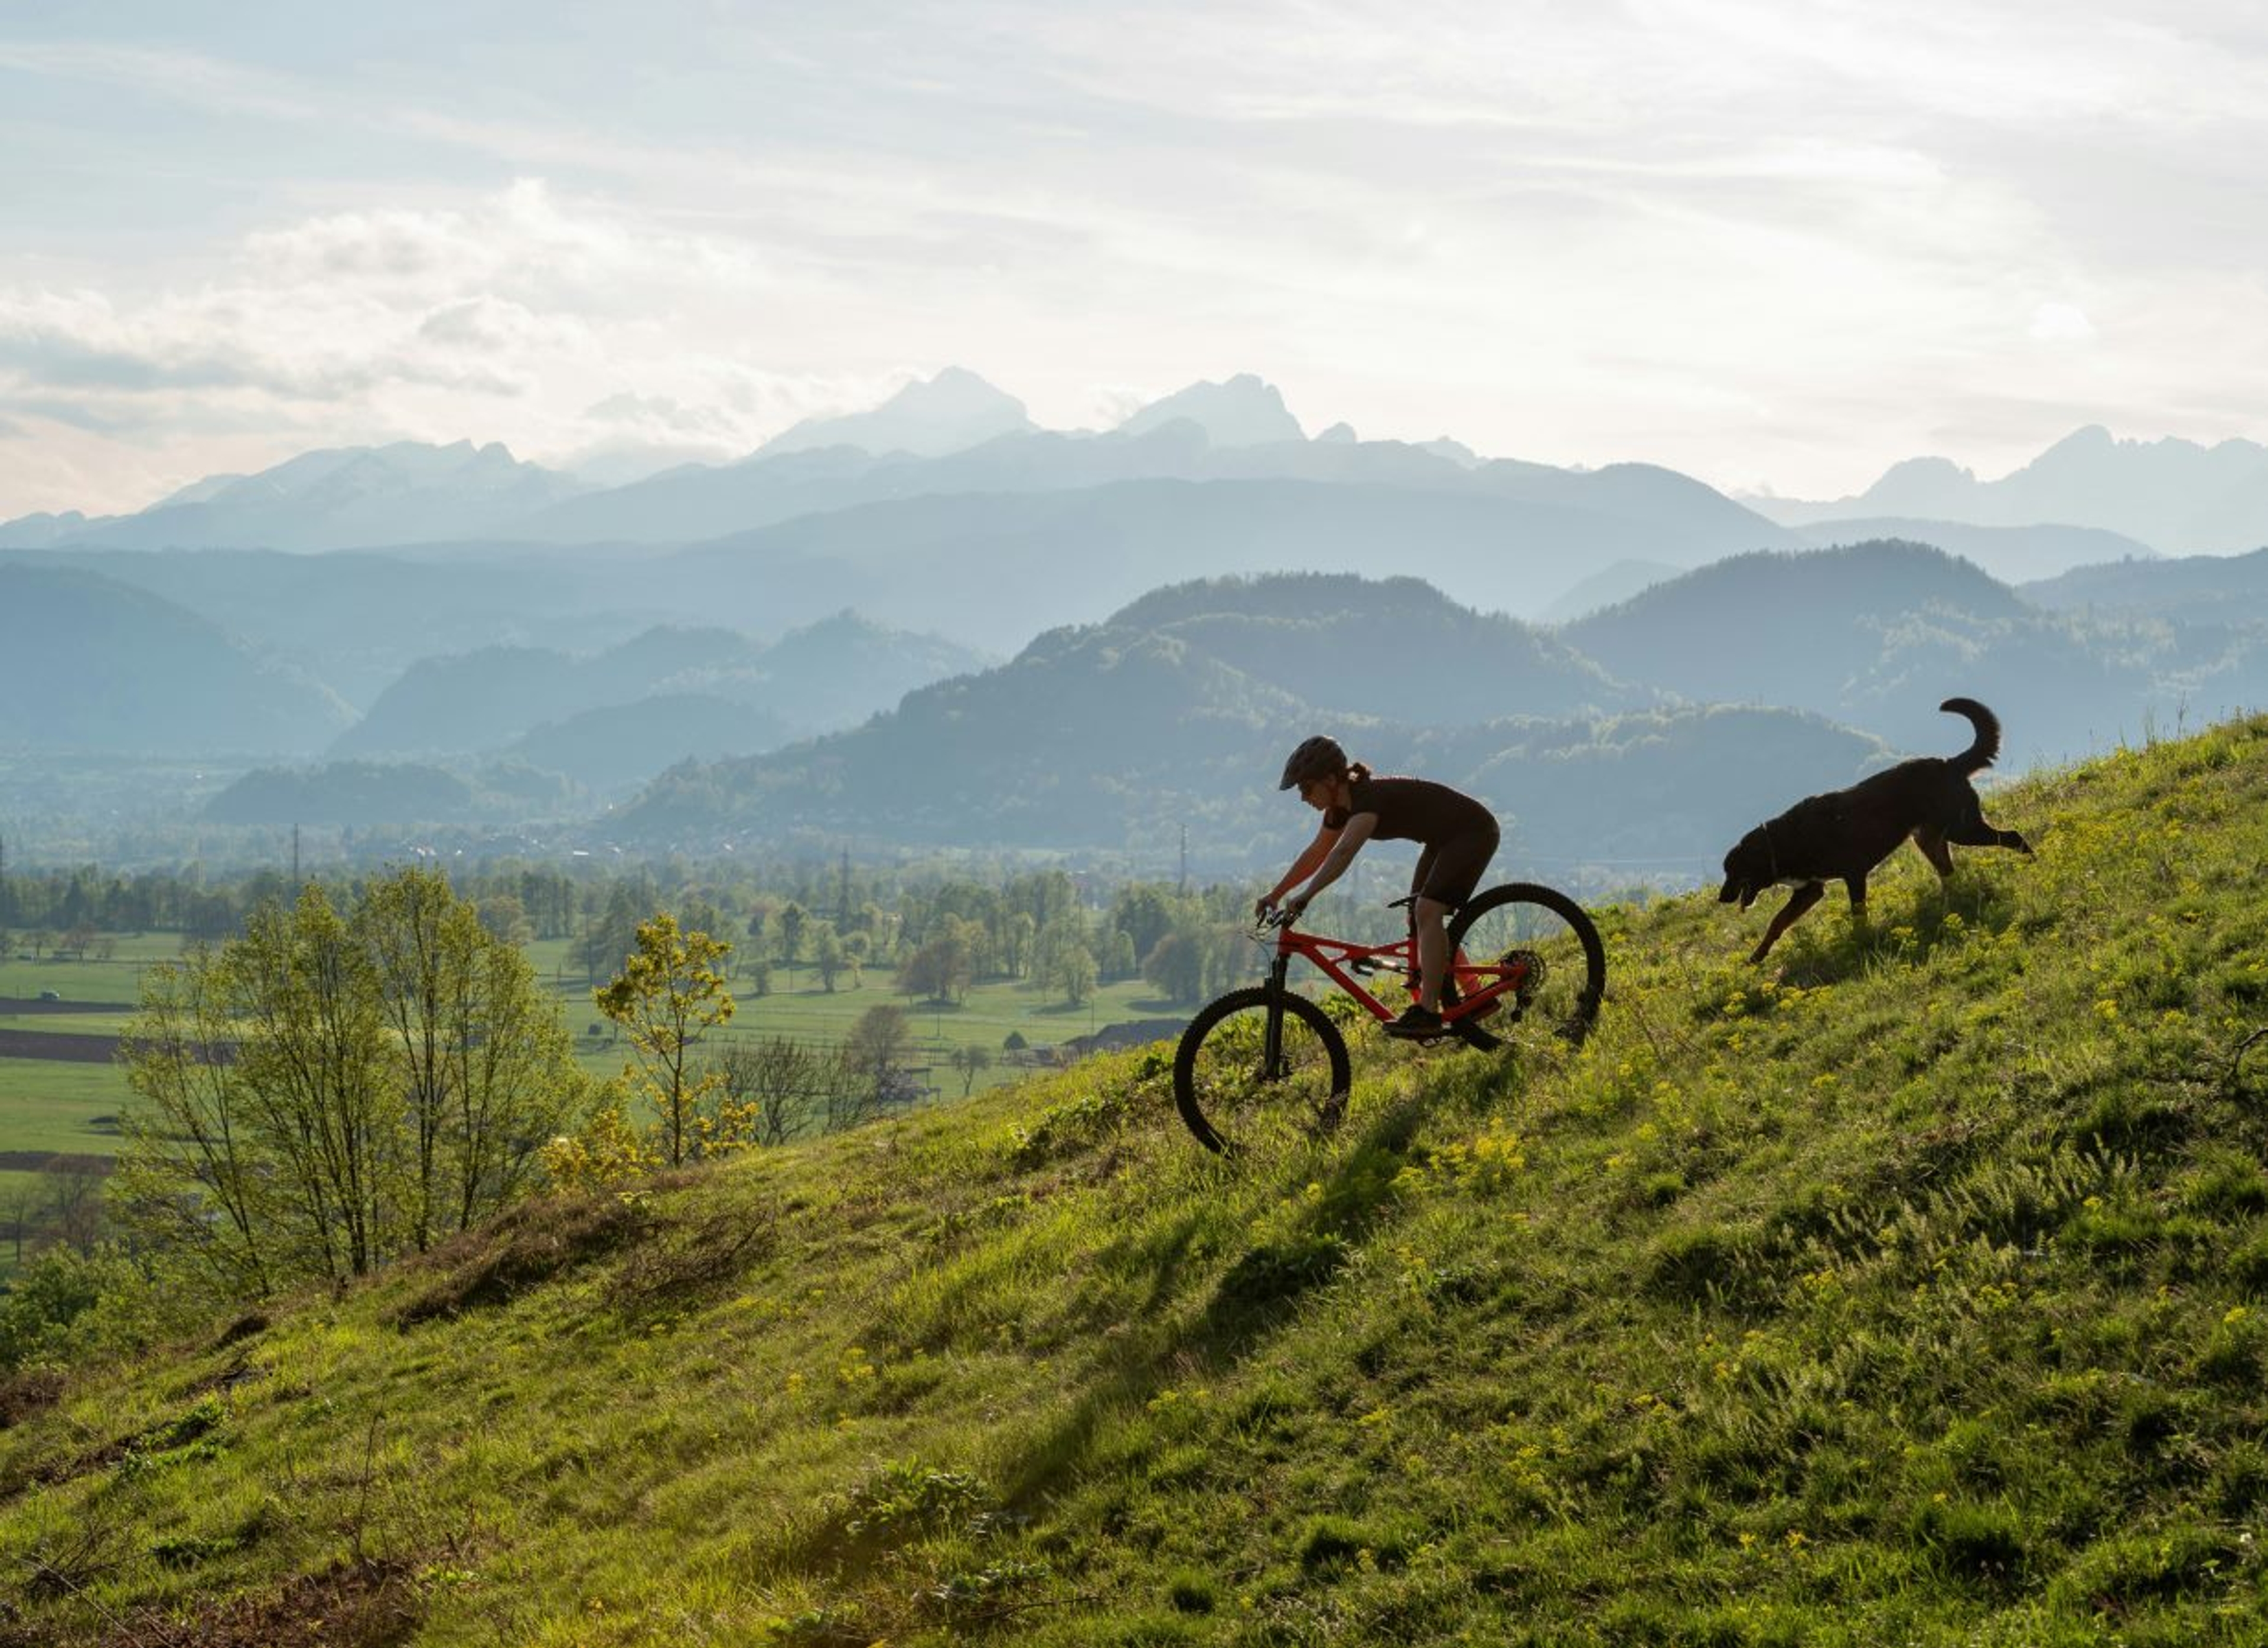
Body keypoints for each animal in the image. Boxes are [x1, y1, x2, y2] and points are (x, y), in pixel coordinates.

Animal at [1715, 698, 2041, 965]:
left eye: (1733, 872)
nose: (1721, 899)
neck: (1780, 842)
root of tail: (1949, 764)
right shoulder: (1810, 890)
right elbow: (1777, 923)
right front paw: (1757, 957)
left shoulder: (1853, 874)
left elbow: (1858, 915)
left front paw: (1860, 941)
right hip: (1928, 839)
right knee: (1949, 872)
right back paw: (1950, 902)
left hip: (1963, 829)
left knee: (2013, 836)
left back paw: (2033, 864)